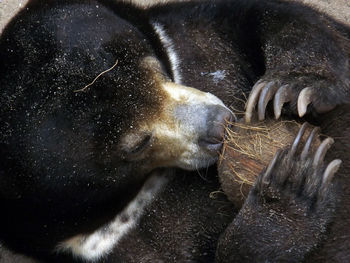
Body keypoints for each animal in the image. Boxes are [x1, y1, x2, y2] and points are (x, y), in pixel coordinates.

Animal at [0, 0, 348, 262]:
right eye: (137, 144)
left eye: (155, 68)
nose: (220, 124)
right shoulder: (113, 246)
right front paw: (292, 186)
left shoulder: (192, 27)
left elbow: (274, 18)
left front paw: (289, 88)